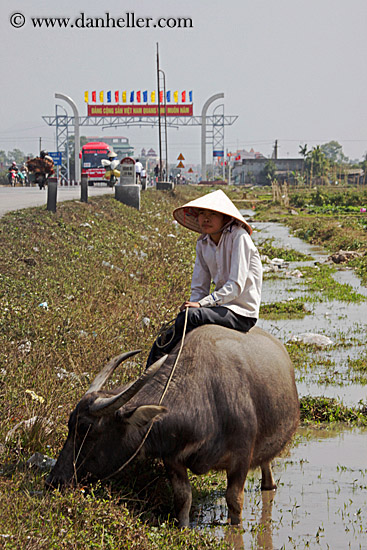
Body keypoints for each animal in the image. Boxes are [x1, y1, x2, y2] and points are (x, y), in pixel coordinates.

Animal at [46, 326, 300, 528]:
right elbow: (182, 498)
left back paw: (268, 484)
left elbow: (234, 501)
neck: (205, 397)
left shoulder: (241, 458)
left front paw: (235, 528)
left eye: (85, 429)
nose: (54, 480)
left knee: (266, 462)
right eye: (70, 424)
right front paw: (184, 528)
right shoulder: (172, 457)